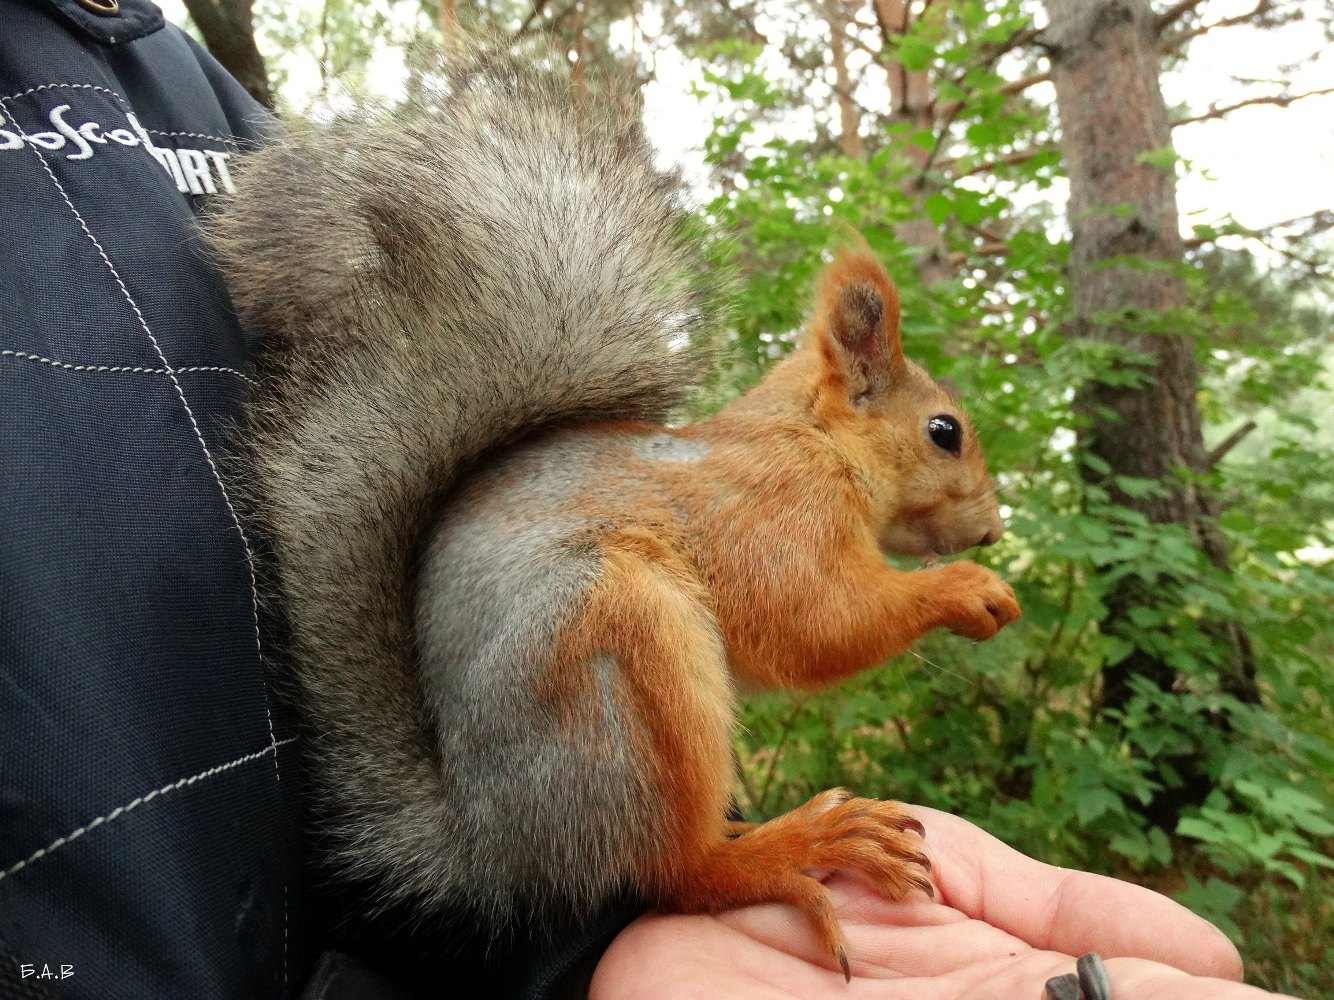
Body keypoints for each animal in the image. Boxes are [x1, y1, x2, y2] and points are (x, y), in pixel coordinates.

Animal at [205, 49, 1019, 981]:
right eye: (944, 432)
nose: (993, 531)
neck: (813, 442)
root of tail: (498, 847)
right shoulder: (777, 516)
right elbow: (814, 623)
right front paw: (967, 589)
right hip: (623, 652)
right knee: (675, 873)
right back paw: (792, 846)